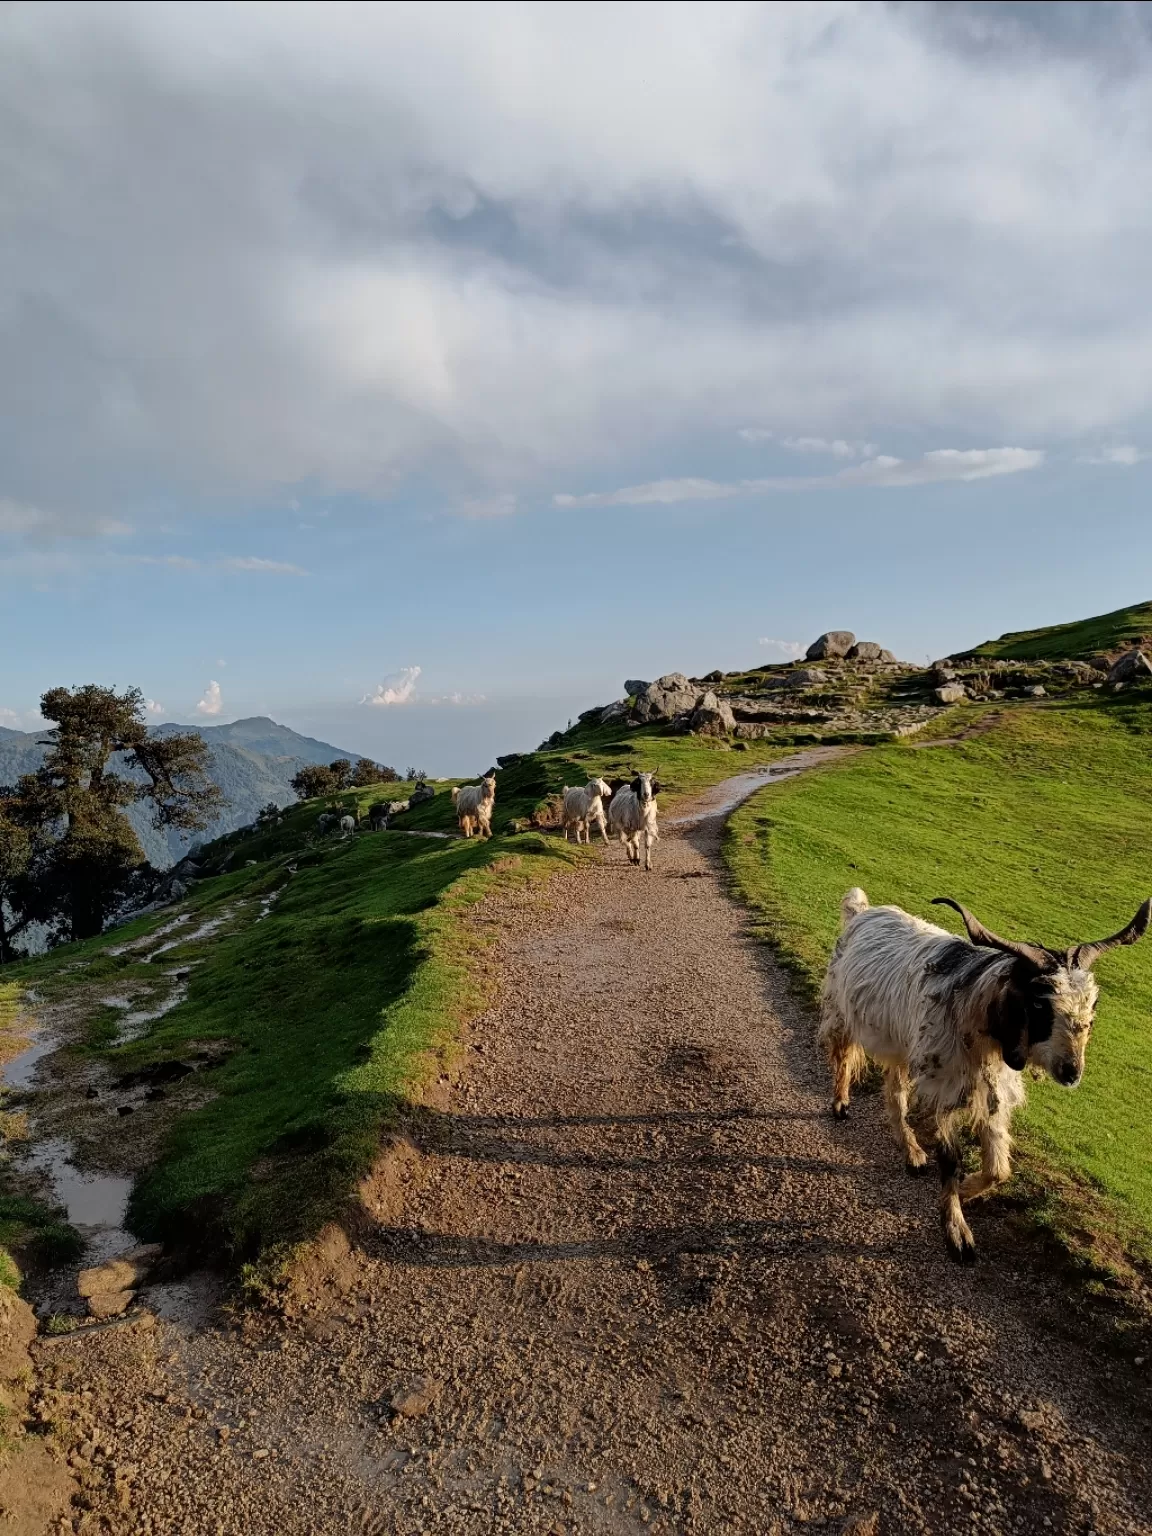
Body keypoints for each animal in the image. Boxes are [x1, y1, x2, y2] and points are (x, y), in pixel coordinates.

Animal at [823, 890, 1152, 1259]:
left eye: (1092, 1005)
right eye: (1040, 1004)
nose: (1072, 1071)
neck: (975, 1008)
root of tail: (861, 911)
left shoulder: (992, 1088)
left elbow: (998, 1169)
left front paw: (966, 1190)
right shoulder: (944, 1086)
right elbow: (950, 1159)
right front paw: (957, 1233)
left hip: (904, 1047)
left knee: (895, 1091)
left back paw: (912, 1154)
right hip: (842, 1011)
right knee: (844, 1056)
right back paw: (841, 1103)